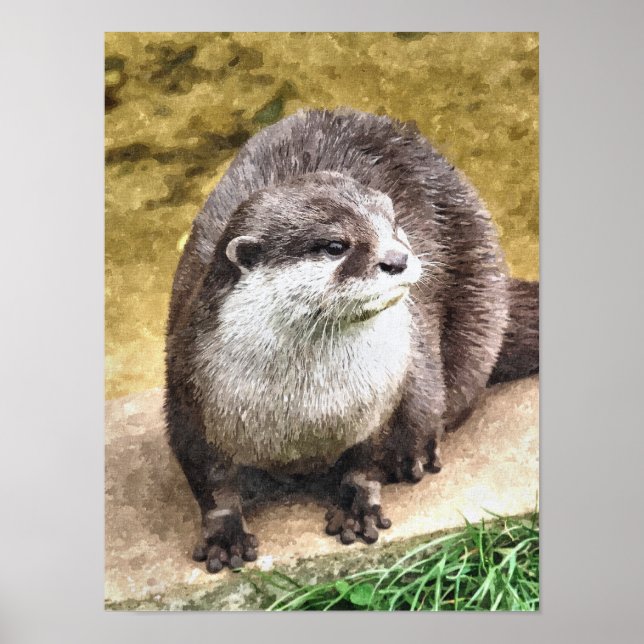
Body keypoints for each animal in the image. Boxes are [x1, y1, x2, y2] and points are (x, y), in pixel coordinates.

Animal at [165, 108, 539, 573]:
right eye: (334, 245)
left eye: (395, 226)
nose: (397, 258)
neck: (306, 412)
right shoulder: (189, 391)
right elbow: (209, 481)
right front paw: (225, 534)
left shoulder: (387, 397)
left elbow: (369, 460)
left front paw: (359, 507)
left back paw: (420, 453)